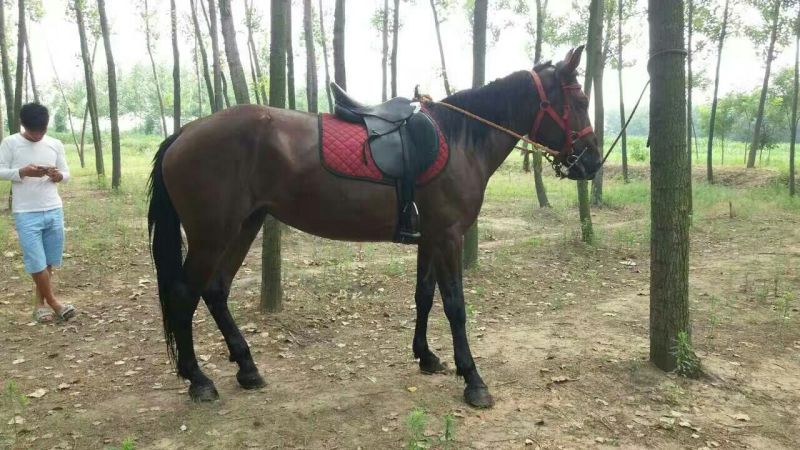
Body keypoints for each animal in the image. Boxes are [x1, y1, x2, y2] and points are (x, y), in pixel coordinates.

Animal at [147, 46, 601, 408]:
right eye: (579, 101)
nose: (593, 162)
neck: (460, 140)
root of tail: (186, 131)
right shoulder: (449, 236)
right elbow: (455, 306)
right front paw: (473, 379)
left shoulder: (430, 237)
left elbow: (424, 297)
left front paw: (426, 357)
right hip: (213, 235)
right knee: (185, 294)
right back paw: (198, 379)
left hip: (244, 226)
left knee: (215, 291)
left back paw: (246, 368)